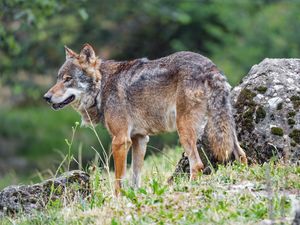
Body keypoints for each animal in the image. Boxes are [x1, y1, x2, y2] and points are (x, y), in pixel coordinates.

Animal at [44, 44, 246, 195]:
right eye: (58, 79)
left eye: (68, 79)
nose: (46, 97)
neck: (103, 86)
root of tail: (210, 67)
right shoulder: (139, 139)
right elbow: (135, 176)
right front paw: (133, 196)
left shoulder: (120, 140)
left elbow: (118, 179)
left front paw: (117, 200)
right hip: (225, 126)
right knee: (241, 153)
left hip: (184, 131)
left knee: (197, 165)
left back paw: (188, 188)